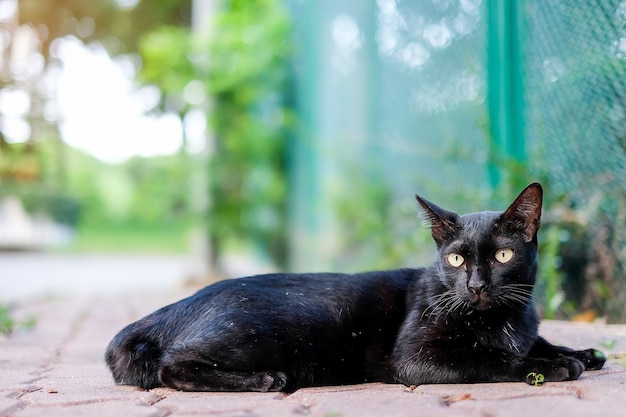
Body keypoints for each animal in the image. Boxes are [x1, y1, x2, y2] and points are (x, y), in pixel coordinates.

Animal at [105, 182, 604, 390]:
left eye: (502, 256)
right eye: (456, 258)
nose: (477, 285)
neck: (502, 319)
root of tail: (173, 308)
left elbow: (536, 342)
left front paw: (580, 352)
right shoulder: (415, 359)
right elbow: (490, 358)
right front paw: (553, 366)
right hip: (262, 332)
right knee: (172, 367)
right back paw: (263, 380)